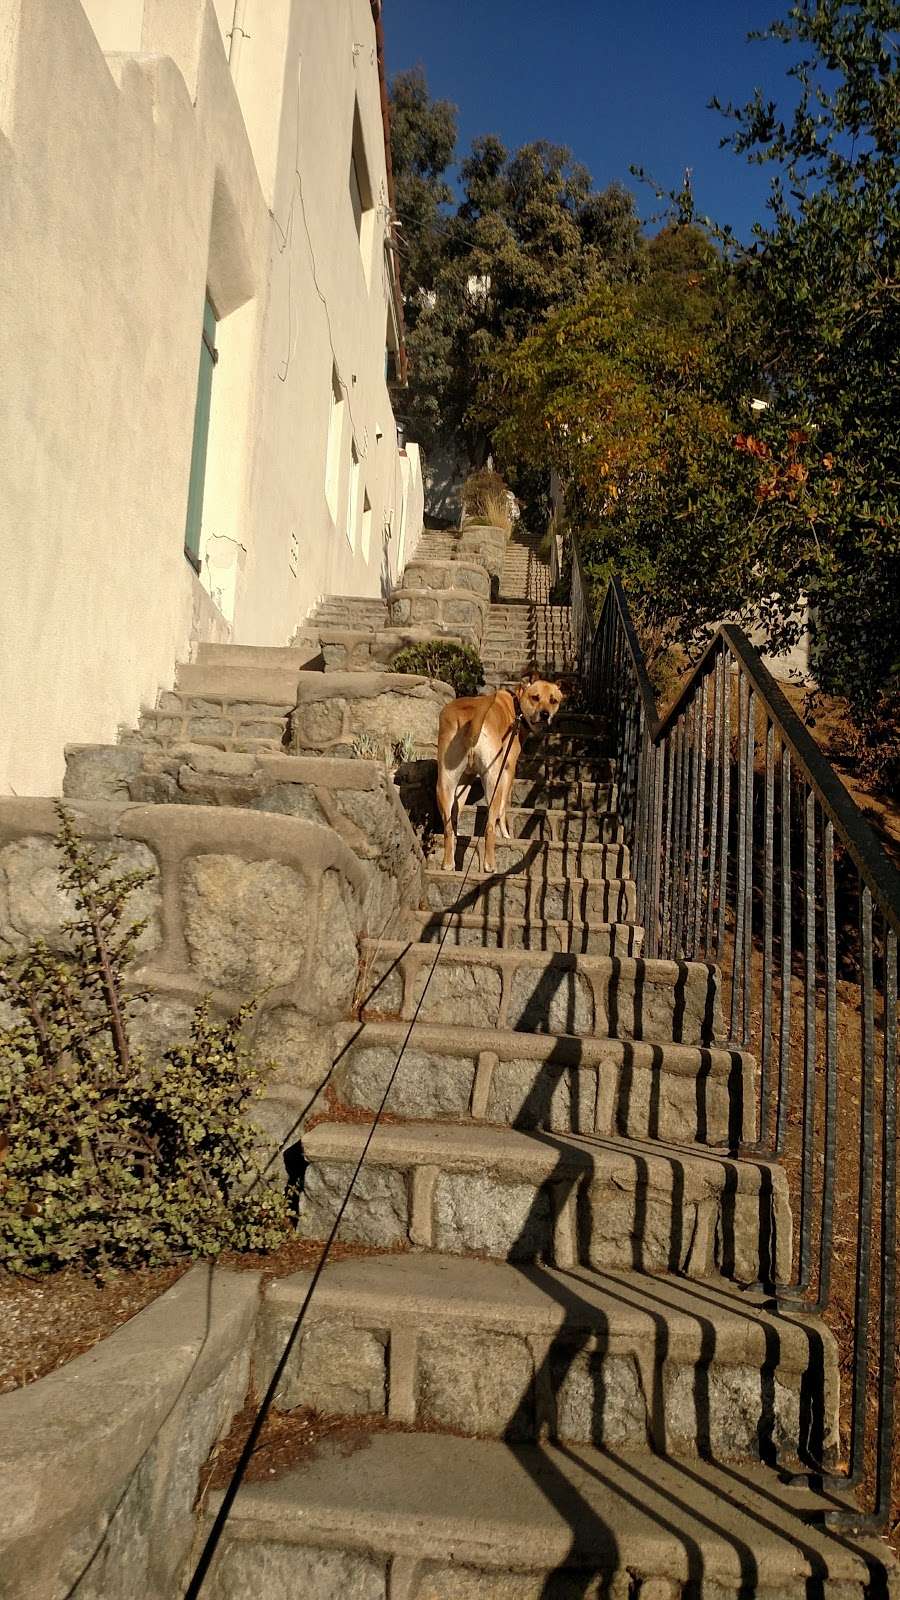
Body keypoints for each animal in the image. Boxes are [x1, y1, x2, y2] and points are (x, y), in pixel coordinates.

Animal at [432, 678, 560, 876]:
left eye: (554, 700)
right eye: (535, 697)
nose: (545, 714)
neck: (515, 704)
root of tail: (473, 714)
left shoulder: (466, 780)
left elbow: (455, 814)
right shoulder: (508, 769)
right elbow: (503, 808)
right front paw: (505, 834)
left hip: (445, 783)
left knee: (447, 827)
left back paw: (448, 862)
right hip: (494, 781)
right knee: (489, 826)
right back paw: (490, 864)